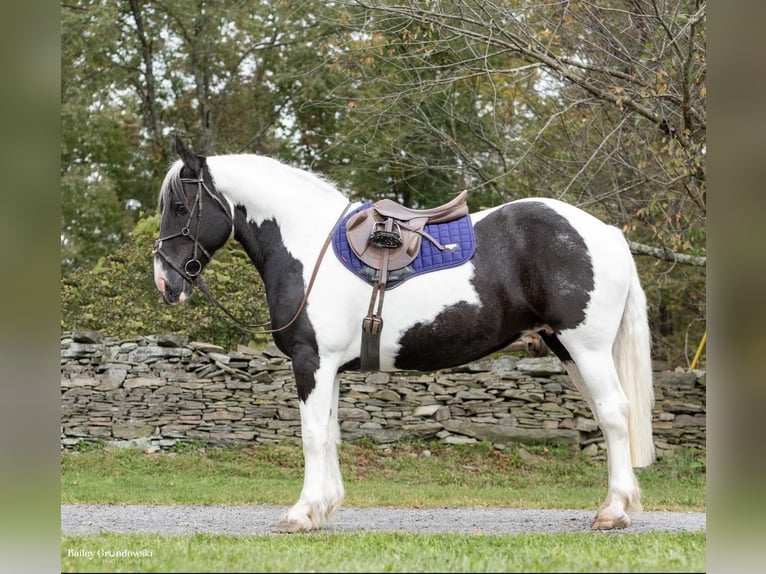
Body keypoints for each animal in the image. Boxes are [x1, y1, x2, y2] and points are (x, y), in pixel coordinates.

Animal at [153, 137, 656, 532]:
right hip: (567, 348)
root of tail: (606, 232)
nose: (165, 282)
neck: (307, 246)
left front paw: (301, 513)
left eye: (180, 207)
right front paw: (324, 508)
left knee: (614, 414)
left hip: (586, 347)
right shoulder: (329, 367)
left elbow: (312, 434)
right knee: (610, 417)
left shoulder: (311, 361)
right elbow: (330, 433)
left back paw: (613, 512)